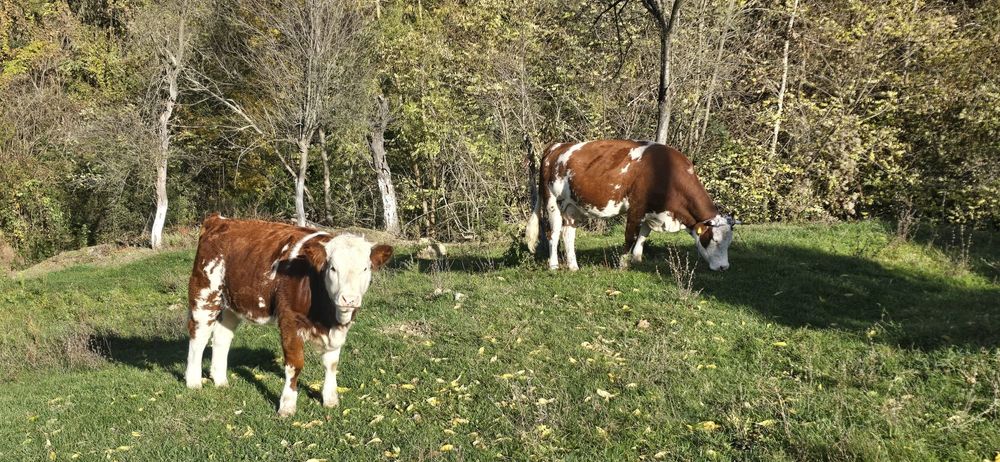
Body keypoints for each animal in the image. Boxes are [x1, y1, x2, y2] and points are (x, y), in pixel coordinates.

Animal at [185, 215, 393, 417]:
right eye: (333, 268)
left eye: (365, 268)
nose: (349, 299)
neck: (327, 318)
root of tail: (219, 219)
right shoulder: (289, 320)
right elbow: (295, 365)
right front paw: (287, 405)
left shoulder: (340, 327)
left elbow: (332, 363)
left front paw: (330, 399)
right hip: (205, 293)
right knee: (199, 336)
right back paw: (193, 382)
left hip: (232, 303)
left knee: (222, 338)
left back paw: (221, 381)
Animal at [525, 139, 738, 271]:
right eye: (714, 240)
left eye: (729, 242)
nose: (724, 267)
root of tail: (557, 146)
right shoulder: (636, 207)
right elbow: (630, 236)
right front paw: (622, 264)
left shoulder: (652, 210)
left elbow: (643, 236)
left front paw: (637, 260)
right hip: (552, 201)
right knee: (553, 233)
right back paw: (553, 265)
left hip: (572, 207)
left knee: (568, 234)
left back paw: (573, 266)